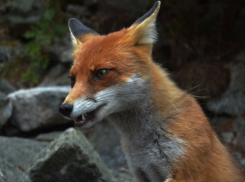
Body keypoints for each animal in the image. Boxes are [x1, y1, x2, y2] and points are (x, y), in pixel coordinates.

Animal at [59, 1, 245, 182]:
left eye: (101, 73)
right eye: (72, 80)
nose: (64, 108)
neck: (142, 142)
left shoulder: (186, 170)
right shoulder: (141, 171)